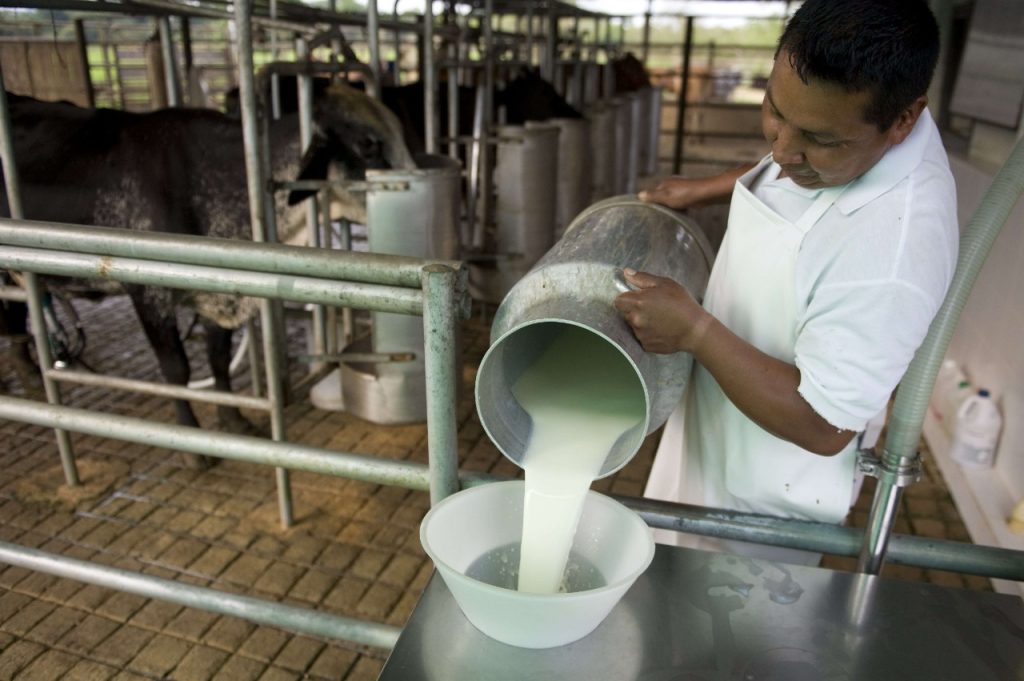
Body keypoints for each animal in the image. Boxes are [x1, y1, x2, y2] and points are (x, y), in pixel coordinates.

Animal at [3, 83, 415, 466]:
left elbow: (219, 359)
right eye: (368, 145)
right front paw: (191, 441)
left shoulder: (220, 290)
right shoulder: (147, 291)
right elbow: (177, 370)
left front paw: (233, 421)